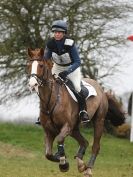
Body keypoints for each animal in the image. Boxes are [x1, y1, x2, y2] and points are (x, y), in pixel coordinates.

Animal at [26, 47, 124, 176]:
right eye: (28, 65)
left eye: (41, 65)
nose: (32, 85)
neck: (51, 100)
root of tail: (100, 89)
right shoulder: (49, 131)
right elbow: (48, 154)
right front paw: (61, 158)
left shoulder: (66, 126)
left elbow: (60, 140)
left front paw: (63, 164)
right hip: (74, 128)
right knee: (84, 142)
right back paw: (81, 164)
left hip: (98, 121)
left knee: (95, 146)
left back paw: (88, 169)